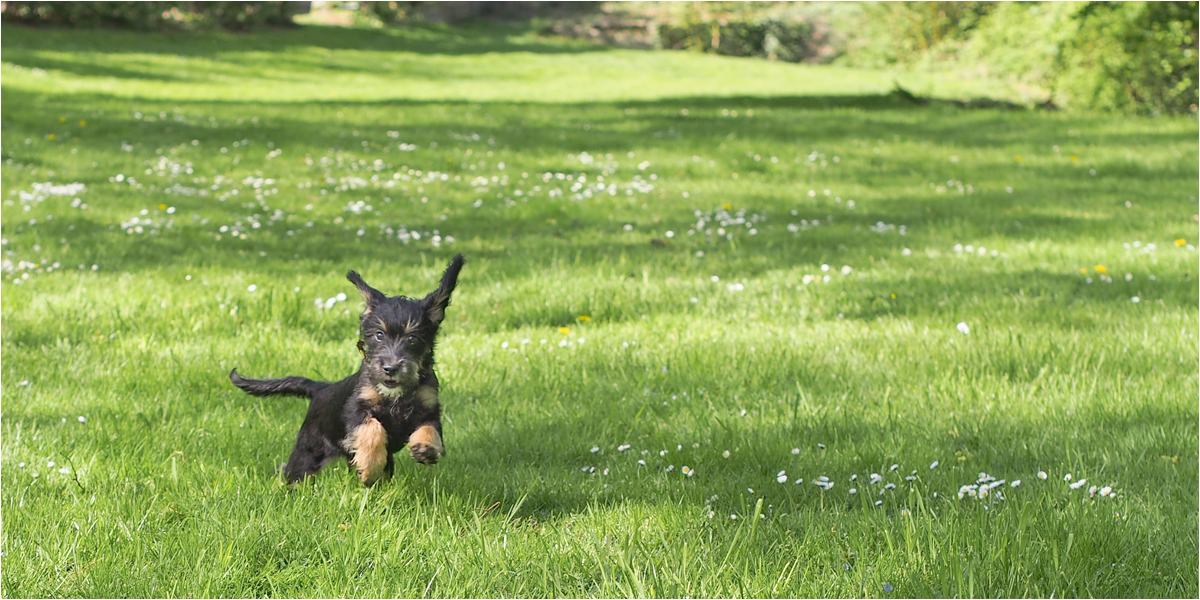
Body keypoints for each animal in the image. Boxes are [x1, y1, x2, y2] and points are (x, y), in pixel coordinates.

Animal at [229, 255, 463, 484]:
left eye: (412, 339)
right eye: (379, 335)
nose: (390, 368)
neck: (397, 396)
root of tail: (322, 388)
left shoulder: (429, 406)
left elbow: (430, 428)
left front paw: (426, 447)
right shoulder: (356, 408)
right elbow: (372, 428)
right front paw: (369, 466)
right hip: (310, 449)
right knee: (292, 470)